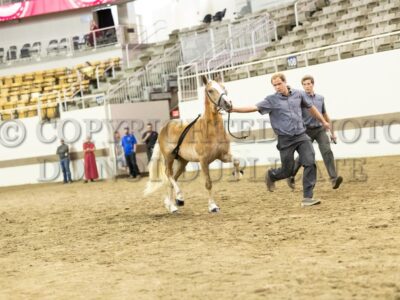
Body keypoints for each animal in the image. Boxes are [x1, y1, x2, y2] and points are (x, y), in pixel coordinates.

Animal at [145, 77, 242, 213]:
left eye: (224, 87)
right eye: (210, 90)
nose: (228, 104)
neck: (211, 130)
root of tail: (164, 128)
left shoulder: (222, 155)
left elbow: (237, 160)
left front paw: (237, 176)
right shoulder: (203, 161)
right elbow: (208, 183)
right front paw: (213, 206)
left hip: (182, 161)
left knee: (172, 179)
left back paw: (172, 205)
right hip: (169, 158)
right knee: (169, 175)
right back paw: (178, 199)